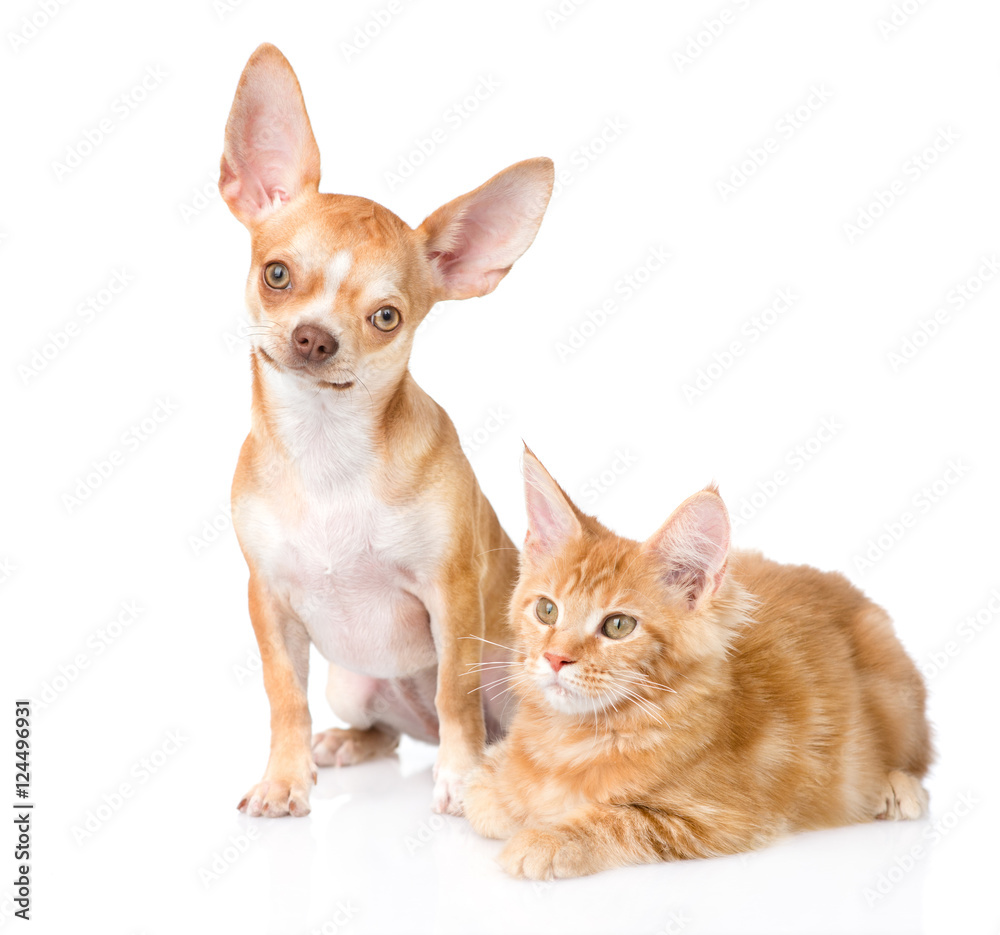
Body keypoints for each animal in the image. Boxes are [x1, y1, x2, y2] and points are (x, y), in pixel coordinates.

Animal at [219, 45, 556, 820]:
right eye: (276, 274)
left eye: (386, 317)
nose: (314, 338)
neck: (327, 452)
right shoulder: (269, 601)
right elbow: (283, 696)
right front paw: (283, 778)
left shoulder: (450, 595)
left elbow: (456, 691)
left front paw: (459, 779)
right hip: (351, 682)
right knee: (388, 730)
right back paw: (347, 742)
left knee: (477, 717)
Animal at [464, 450, 932, 880]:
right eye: (546, 611)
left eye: (618, 625)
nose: (555, 657)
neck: (571, 740)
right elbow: (483, 797)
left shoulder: (727, 818)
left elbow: (622, 818)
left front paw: (546, 839)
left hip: (894, 689)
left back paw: (896, 787)